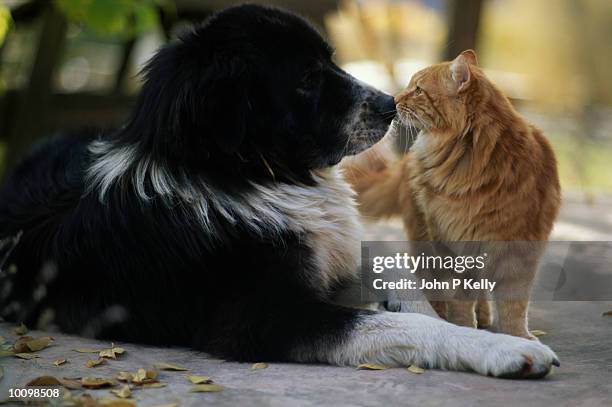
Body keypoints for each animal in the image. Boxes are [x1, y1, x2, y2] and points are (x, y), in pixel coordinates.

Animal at [344, 50, 560, 338]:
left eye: (418, 90)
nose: (394, 100)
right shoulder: (454, 245)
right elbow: (461, 301)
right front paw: (465, 327)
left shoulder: (519, 253)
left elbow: (513, 307)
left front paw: (518, 336)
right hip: (425, 238)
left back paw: (483, 316)